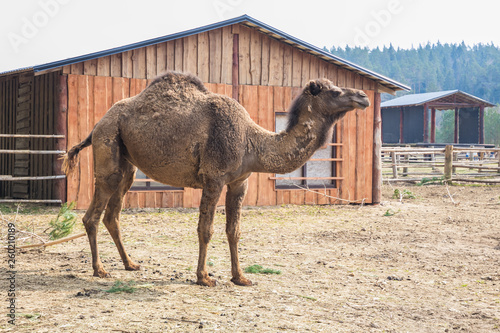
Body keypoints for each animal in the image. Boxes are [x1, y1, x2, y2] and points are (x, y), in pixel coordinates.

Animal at [62, 72, 370, 286]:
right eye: (336, 91)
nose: (364, 96)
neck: (251, 141)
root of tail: (98, 123)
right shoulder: (214, 177)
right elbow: (205, 229)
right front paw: (204, 277)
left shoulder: (239, 181)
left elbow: (234, 231)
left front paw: (240, 277)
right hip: (108, 148)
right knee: (92, 215)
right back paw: (100, 270)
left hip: (128, 165)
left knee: (112, 215)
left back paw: (130, 264)